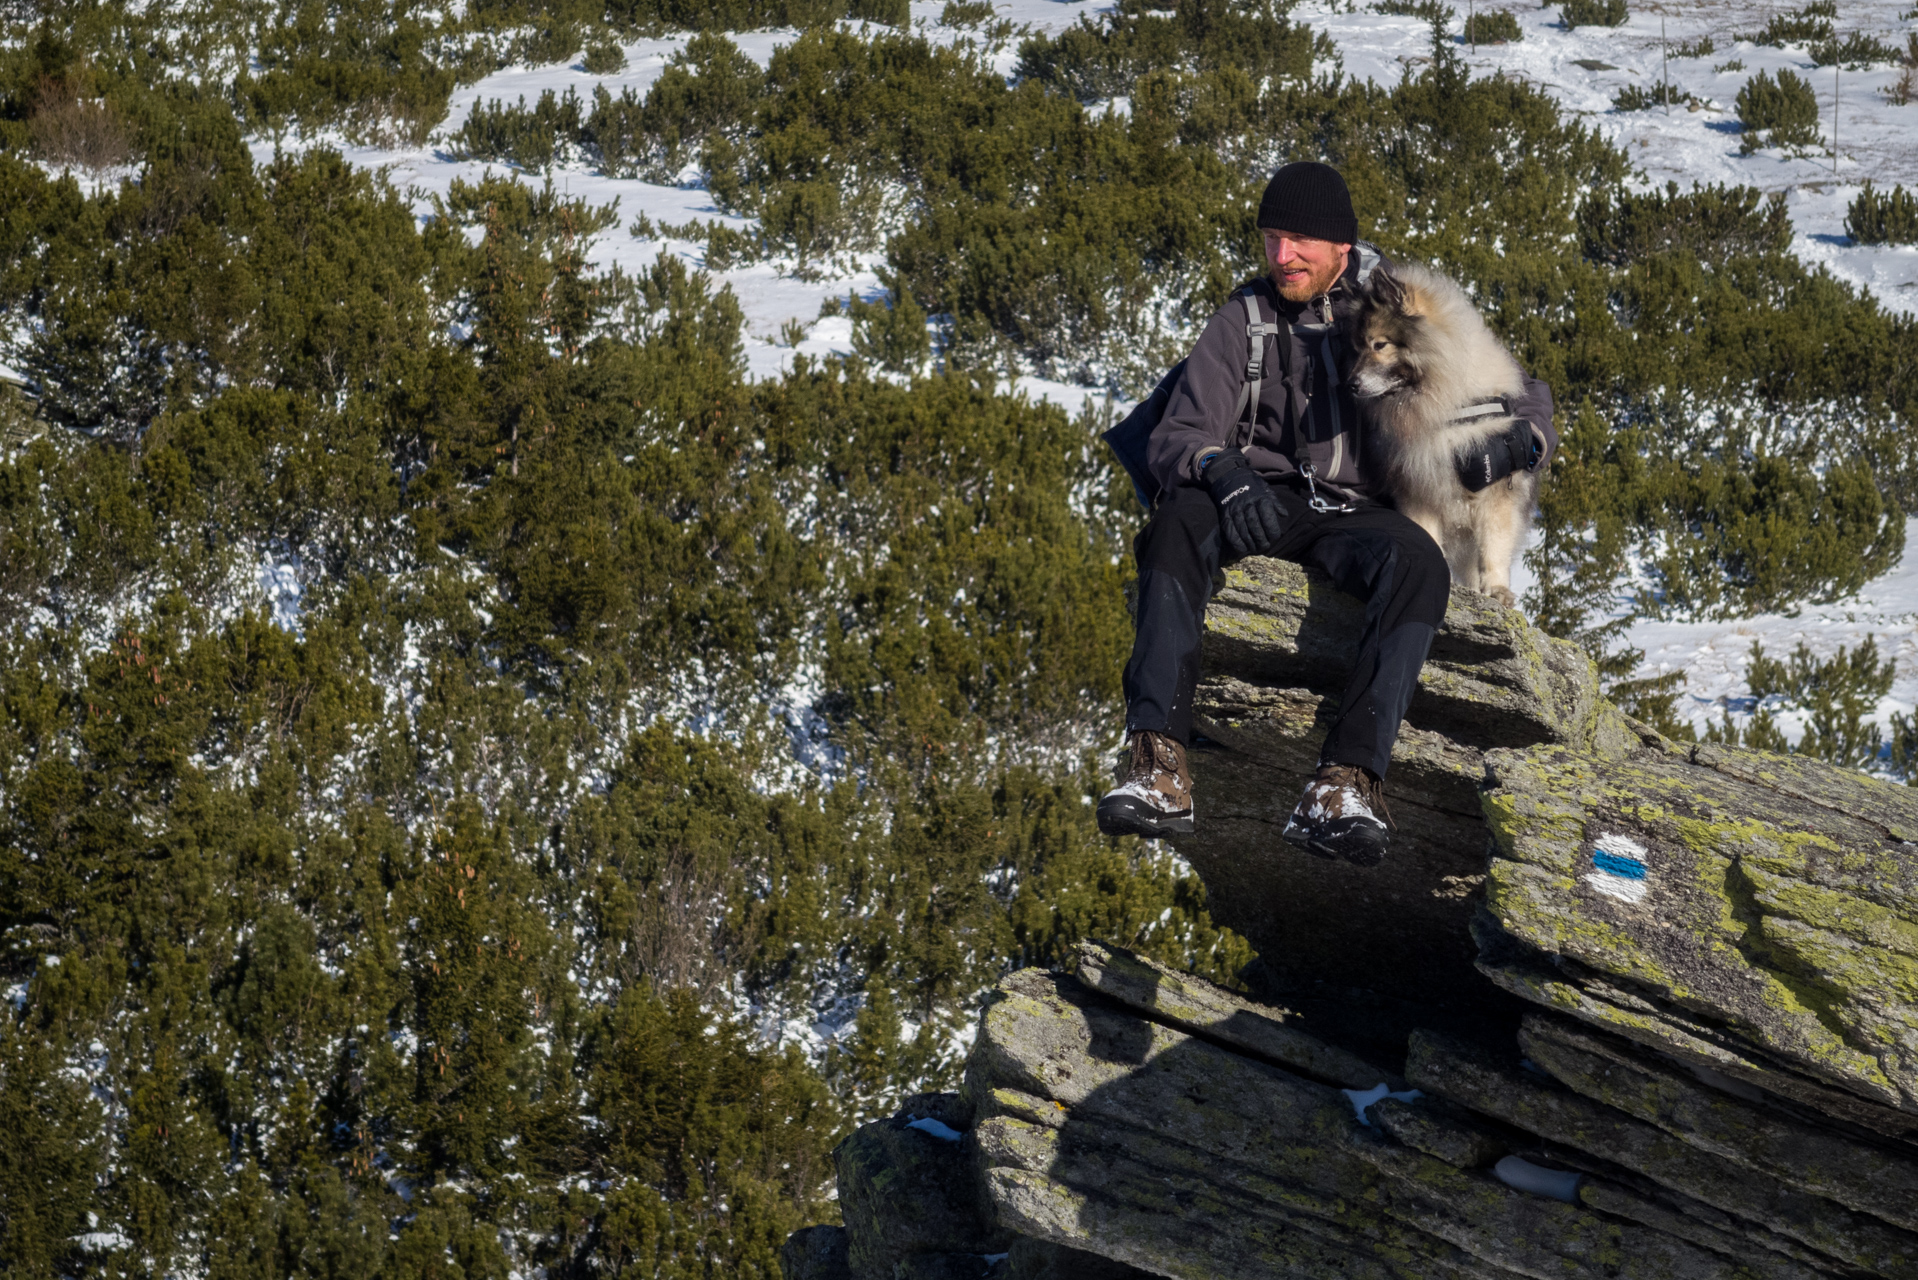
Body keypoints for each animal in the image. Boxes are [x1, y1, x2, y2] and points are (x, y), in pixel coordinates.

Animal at [1357, 262, 1534, 610]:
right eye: (1358, 346)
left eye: (1380, 345)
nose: (1352, 384)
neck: (1445, 408)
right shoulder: (1418, 489)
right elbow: (1429, 538)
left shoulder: (1496, 488)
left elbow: (1494, 546)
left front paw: (1497, 590)